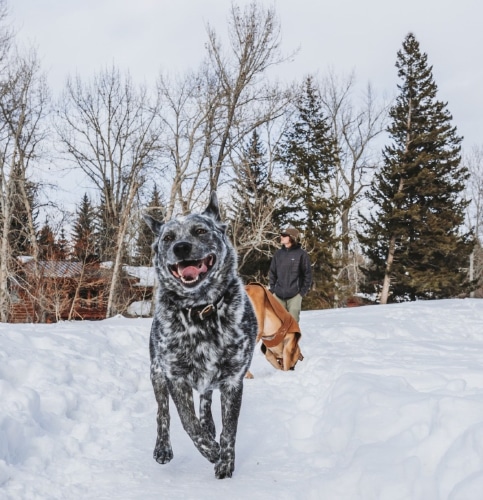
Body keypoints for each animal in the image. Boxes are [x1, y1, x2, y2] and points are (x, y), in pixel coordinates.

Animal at [143, 192, 258, 480]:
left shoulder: (233, 380)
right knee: (163, 413)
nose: (181, 247)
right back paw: (163, 447)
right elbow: (187, 422)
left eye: (200, 231)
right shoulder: (174, 377)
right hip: (156, 372)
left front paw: (225, 460)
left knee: (205, 400)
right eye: (168, 237)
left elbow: (229, 430)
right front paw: (211, 451)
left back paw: (209, 424)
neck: (200, 311)